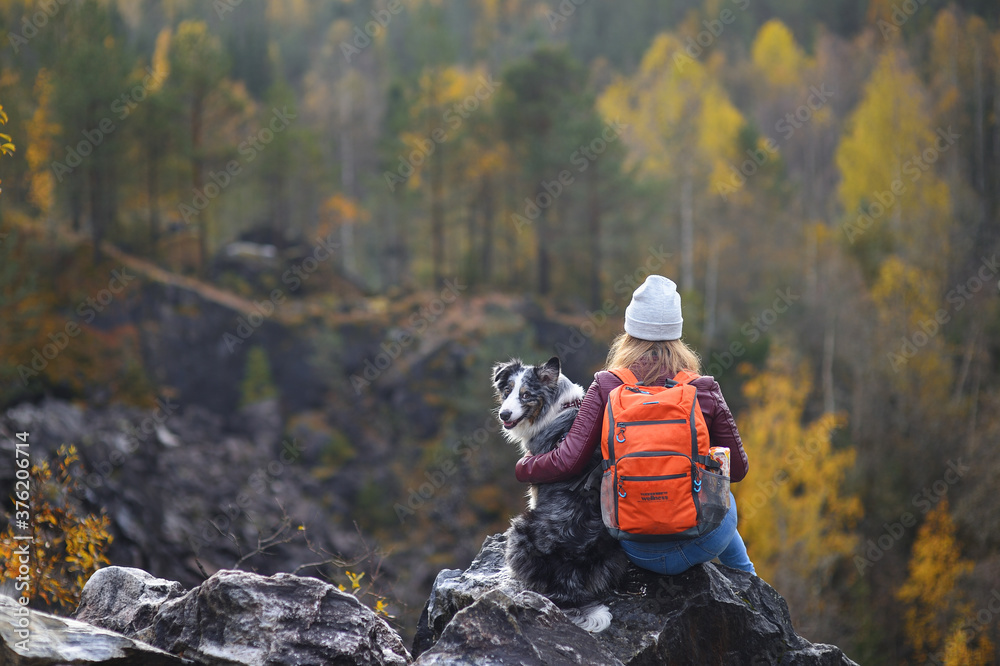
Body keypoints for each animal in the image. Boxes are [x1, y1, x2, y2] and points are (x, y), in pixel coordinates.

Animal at [490, 356, 624, 632]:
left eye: (526, 395)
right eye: (507, 391)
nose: (504, 414)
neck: (557, 408)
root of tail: (567, 574)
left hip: (518, 529)